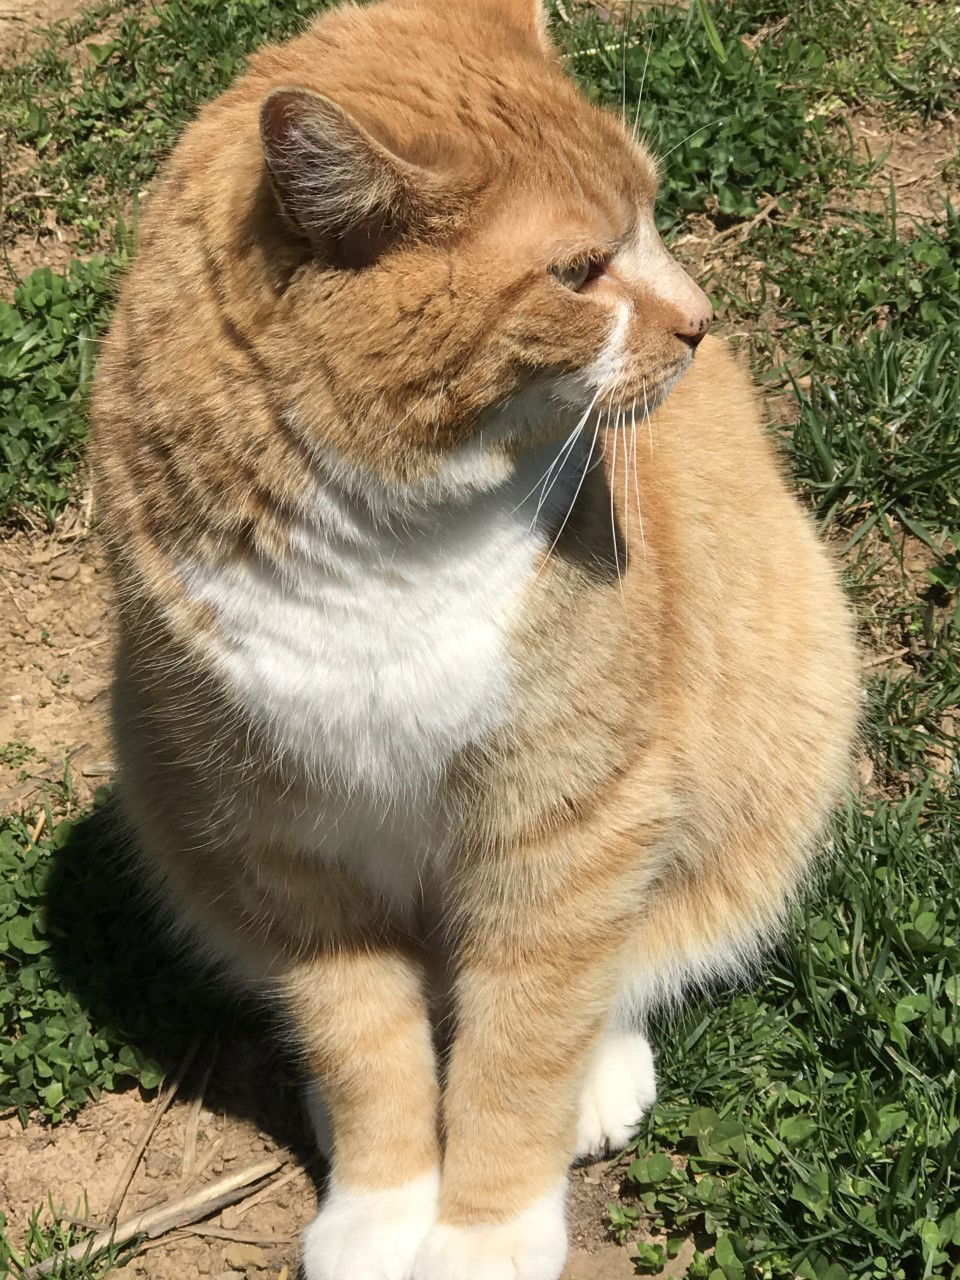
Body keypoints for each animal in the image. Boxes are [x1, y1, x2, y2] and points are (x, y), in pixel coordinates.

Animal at [88, 2, 855, 1280]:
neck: (387, 538)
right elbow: (359, 1036)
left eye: (653, 212)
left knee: (633, 953)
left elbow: (524, 1043)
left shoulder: (563, 817)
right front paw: (382, 1205)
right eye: (579, 273)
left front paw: (485, 1231)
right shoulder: (284, 835)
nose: (701, 322)